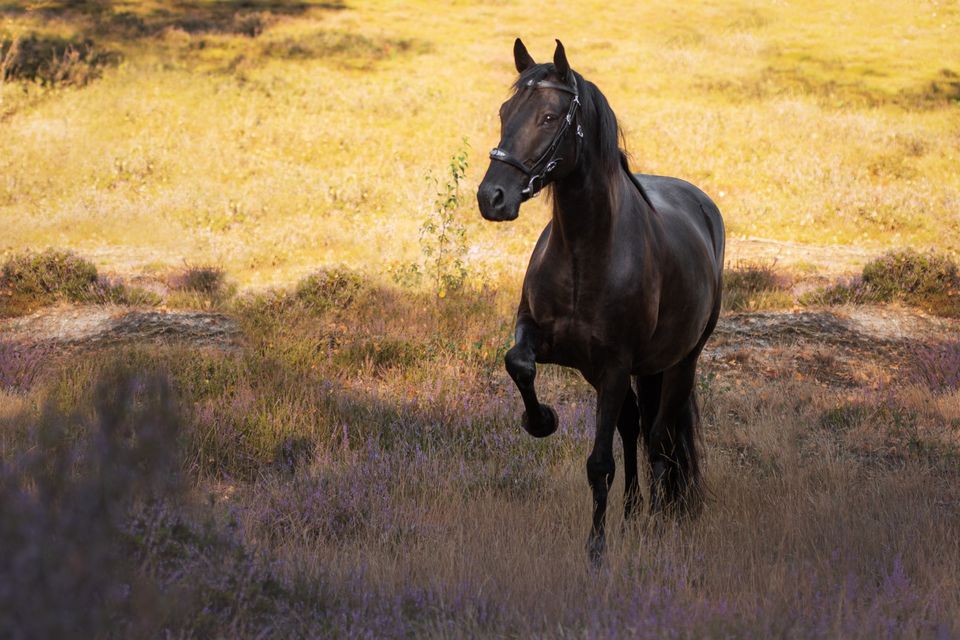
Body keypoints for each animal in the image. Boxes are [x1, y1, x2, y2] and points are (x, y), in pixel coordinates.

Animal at [476, 40, 724, 560]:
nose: (492, 198)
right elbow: (518, 363)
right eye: (506, 111)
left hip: (679, 363)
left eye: (550, 117)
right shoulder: (548, 342)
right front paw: (540, 420)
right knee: (632, 427)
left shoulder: (614, 365)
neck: (585, 252)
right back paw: (630, 514)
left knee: (658, 439)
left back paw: (655, 521)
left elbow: (598, 464)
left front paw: (596, 551)